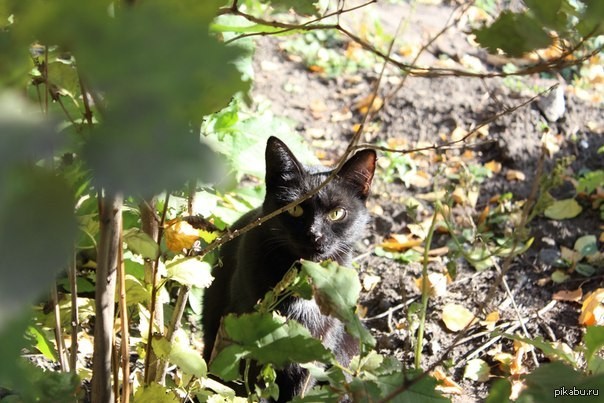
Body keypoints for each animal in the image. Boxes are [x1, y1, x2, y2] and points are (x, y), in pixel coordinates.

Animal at [203, 137, 372, 402]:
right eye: (295, 209)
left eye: (337, 214)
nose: (314, 234)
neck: (300, 279)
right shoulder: (248, 332)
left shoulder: (319, 343)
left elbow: (301, 387)